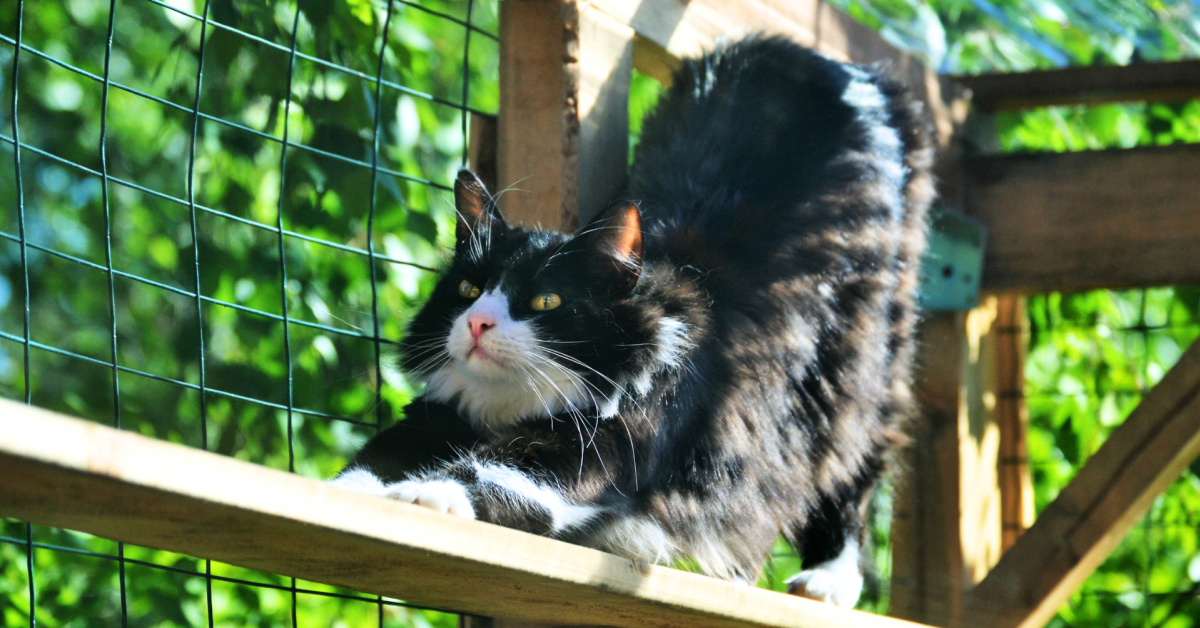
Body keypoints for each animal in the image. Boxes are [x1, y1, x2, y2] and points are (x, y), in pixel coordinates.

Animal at [331, 35, 936, 609]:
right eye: (469, 290)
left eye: (546, 301)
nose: (478, 324)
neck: (512, 407)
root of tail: (841, 66)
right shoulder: (435, 417)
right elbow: (376, 458)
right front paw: (351, 490)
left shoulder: (595, 447)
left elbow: (490, 472)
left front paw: (421, 495)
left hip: (857, 367)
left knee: (855, 470)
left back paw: (828, 581)